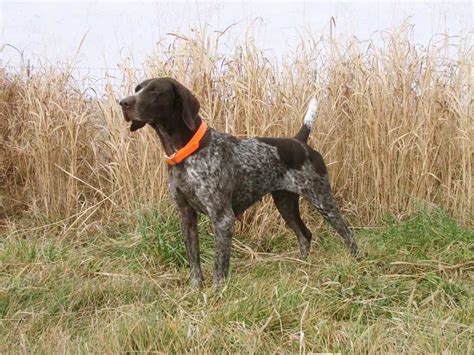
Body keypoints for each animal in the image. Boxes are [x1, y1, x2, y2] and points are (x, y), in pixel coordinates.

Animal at [119, 78, 360, 290]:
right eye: (137, 88)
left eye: (154, 91)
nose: (123, 102)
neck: (186, 153)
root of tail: (299, 141)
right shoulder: (186, 216)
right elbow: (194, 262)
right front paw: (195, 289)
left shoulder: (222, 218)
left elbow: (220, 264)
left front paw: (217, 292)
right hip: (285, 203)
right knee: (305, 235)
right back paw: (303, 268)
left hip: (322, 199)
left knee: (348, 235)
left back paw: (356, 263)